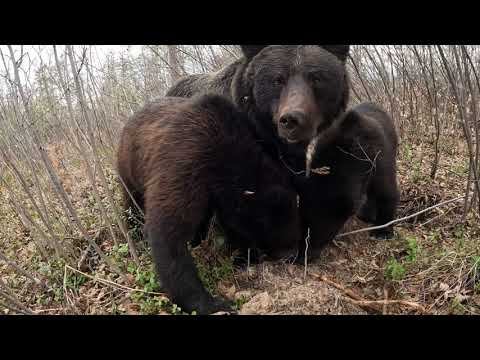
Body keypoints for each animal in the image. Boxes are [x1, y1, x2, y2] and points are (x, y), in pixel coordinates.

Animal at [116, 94, 300, 314]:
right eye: (269, 226)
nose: (292, 254)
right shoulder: (186, 161)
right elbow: (168, 233)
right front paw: (211, 303)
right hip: (129, 168)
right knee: (131, 203)